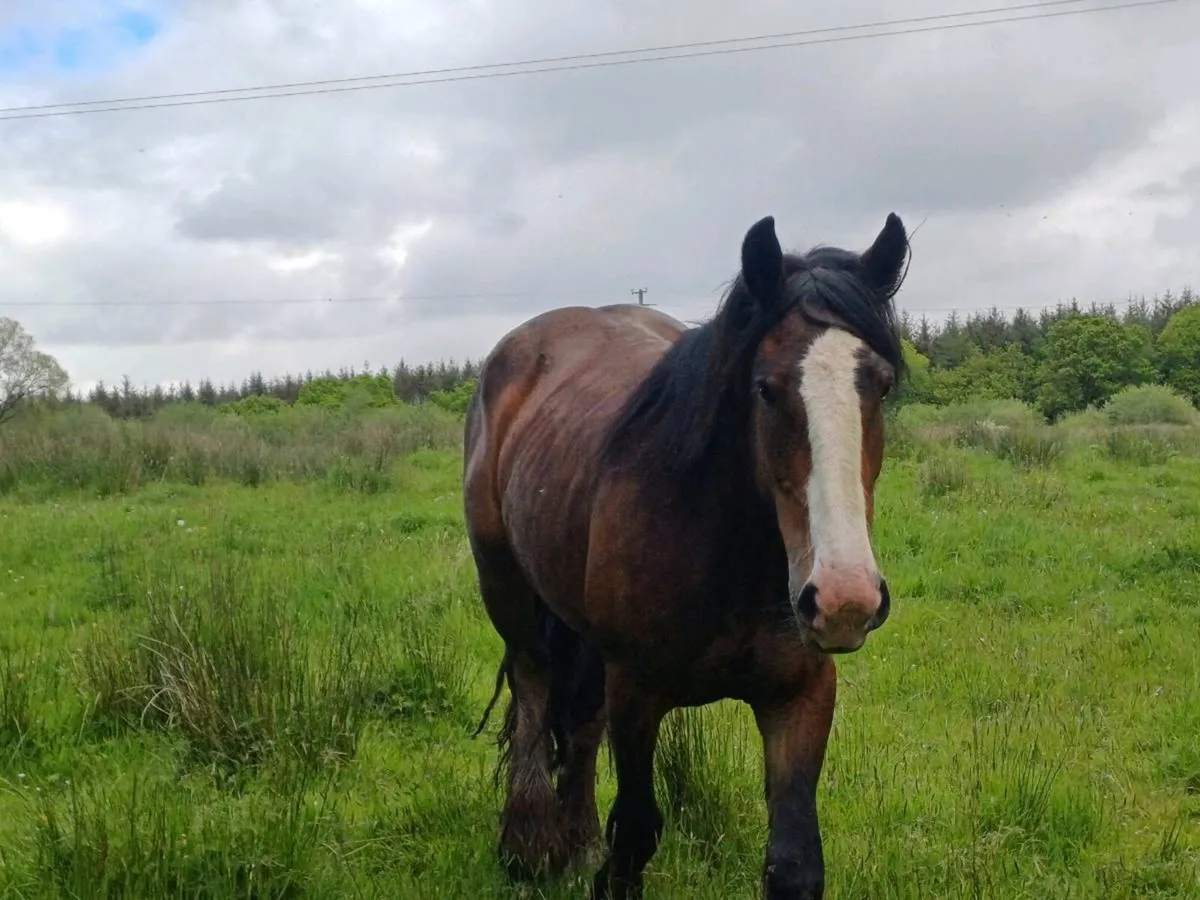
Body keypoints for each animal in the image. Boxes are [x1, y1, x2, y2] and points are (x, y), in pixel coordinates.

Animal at [463, 212, 910, 899]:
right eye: (765, 389)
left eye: (881, 386)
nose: (844, 600)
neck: (725, 556)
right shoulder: (637, 691)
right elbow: (634, 836)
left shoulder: (801, 694)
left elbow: (795, 864)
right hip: (507, 589)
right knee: (534, 687)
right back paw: (528, 845)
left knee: (580, 718)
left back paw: (576, 838)